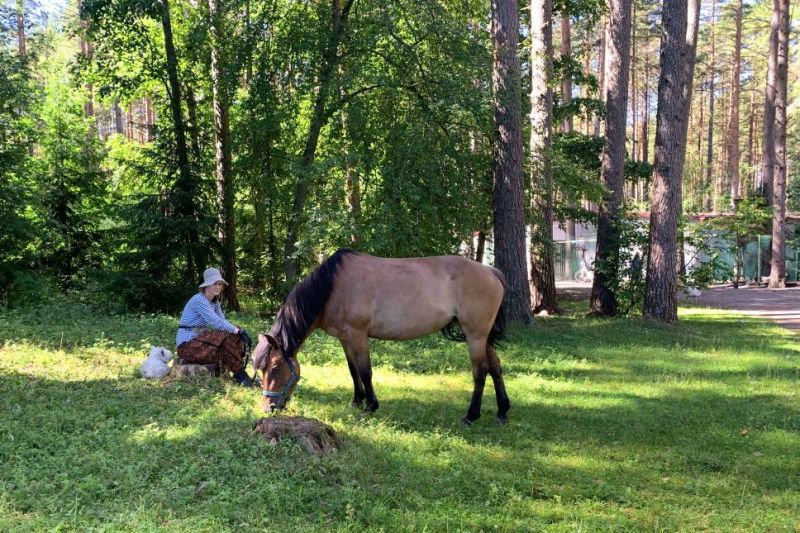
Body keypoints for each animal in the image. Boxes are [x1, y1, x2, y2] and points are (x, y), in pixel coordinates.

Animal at [253, 247, 510, 426]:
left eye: (274, 367)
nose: (268, 407)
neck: (333, 287)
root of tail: (490, 271)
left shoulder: (358, 335)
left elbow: (365, 371)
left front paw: (371, 405)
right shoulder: (345, 338)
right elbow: (353, 370)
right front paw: (356, 401)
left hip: (475, 335)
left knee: (480, 372)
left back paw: (471, 416)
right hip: (482, 336)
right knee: (496, 367)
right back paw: (502, 411)